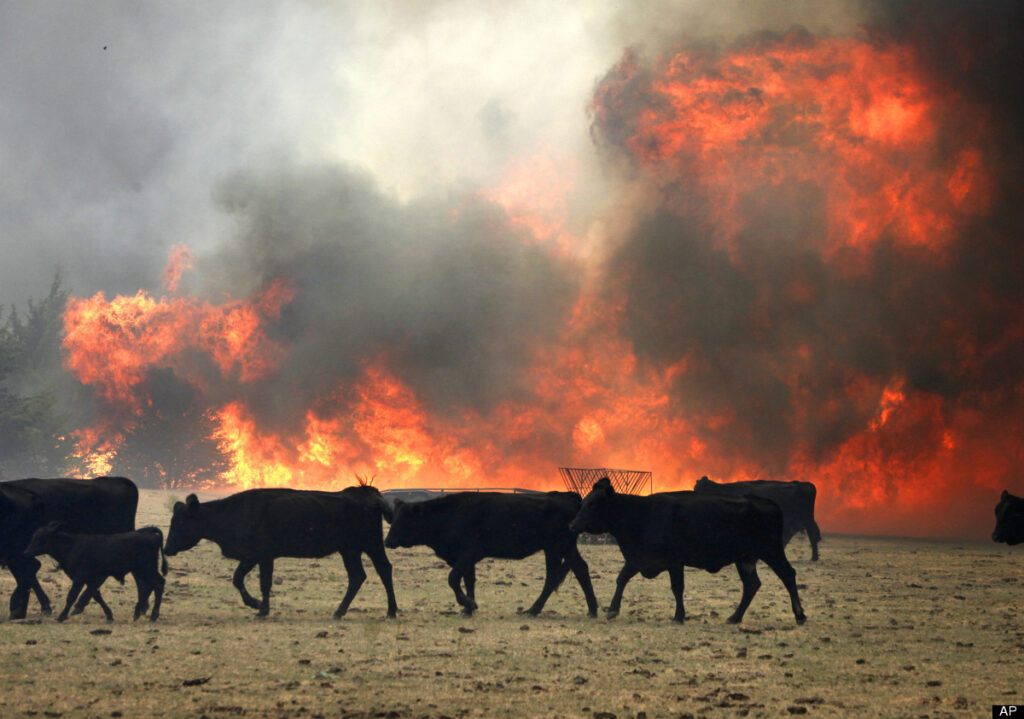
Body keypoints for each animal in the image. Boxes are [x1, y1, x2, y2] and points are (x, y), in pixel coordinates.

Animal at [23, 524, 166, 626]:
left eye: (40, 538)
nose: (26, 552)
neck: (72, 546)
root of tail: (150, 534)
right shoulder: (89, 578)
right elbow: (96, 595)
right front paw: (109, 615)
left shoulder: (80, 577)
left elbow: (72, 596)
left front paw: (61, 616)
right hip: (142, 570)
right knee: (149, 586)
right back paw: (138, 613)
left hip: (146, 569)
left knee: (159, 583)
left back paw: (153, 615)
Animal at [162, 483, 395, 618]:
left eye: (180, 522)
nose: (166, 548)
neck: (235, 513)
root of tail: (367, 493)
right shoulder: (252, 556)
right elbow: (238, 578)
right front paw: (256, 604)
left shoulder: (263, 555)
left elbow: (263, 583)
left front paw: (260, 608)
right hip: (350, 550)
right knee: (358, 576)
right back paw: (340, 611)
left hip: (371, 545)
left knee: (383, 570)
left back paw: (390, 611)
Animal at [380, 489, 598, 618]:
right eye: (392, 518)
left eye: (404, 519)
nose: (387, 541)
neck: (450, 515)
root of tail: (566, 496)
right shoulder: (466, 559)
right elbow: (468, 580)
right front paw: (469, 607)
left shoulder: (468, 553)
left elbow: (453, 578)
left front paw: (467, 603)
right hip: (564, 548)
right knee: (580, 569)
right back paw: (592, 609)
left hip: (555, 547)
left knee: (553, 576)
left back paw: (534, 610)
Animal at [565, 479, 802, 626]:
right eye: (584, 502)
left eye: (593, 504)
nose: (573, 525)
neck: (642, 514)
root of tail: (766, 502)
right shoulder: (638, 559)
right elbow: (621, 579)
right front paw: (613, 609)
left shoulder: (674, 561)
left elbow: (677, 588)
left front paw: (679, 616)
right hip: (745, 558)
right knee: (752, 585)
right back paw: (734, 617)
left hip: (772, 551)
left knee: (788, 575)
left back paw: (799, 614)